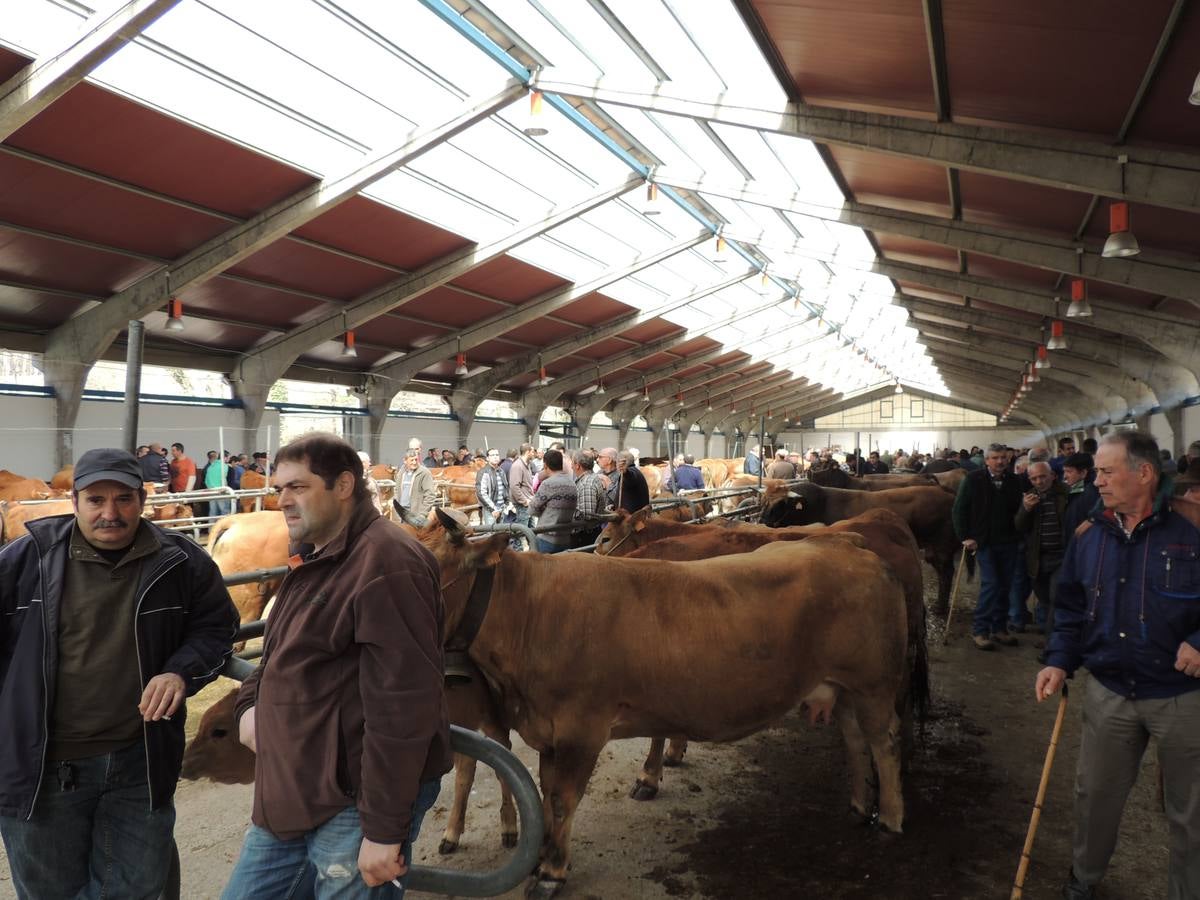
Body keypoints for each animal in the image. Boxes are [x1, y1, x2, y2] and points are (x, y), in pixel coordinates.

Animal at [427, 508, 902, 897]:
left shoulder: (582, 730)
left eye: (429, 571)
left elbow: (562, 800)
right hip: (841, 687)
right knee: (854, 738)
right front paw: (542, 856)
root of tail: (846, 544)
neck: (531, 611)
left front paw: (551, 872)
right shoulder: (547, 732)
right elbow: (545, 796)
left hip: (874, 682)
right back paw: (859, 805)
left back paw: (890, 819)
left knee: (884, 743)